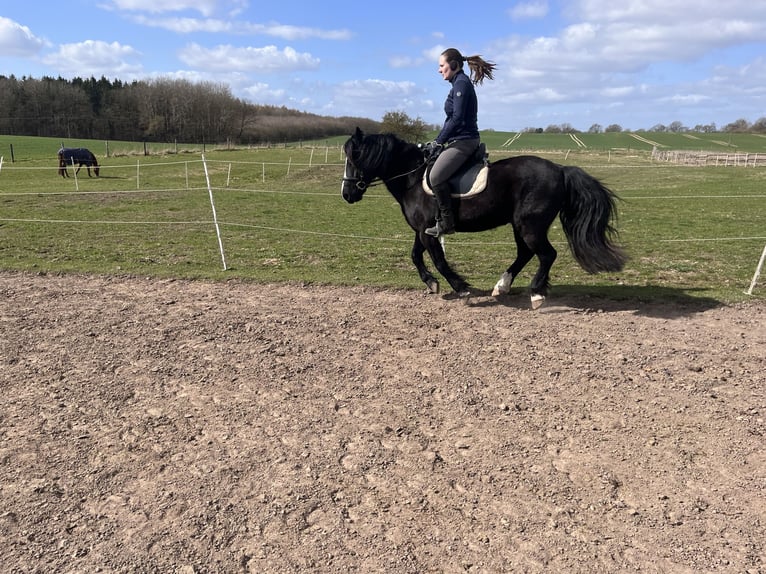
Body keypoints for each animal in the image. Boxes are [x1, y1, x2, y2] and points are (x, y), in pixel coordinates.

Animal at [341, 128, 626, 308]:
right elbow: (415, 256)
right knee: (526, 254)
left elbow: (439, 261)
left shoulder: (427, 231)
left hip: (530, 226)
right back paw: (502, 286)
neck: (412, 177)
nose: (346, 194)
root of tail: (560, 169)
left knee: (546, 254)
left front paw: (462, 289)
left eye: (355, 158)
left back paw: (535, 293)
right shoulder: (423, 230)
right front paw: (431, 284)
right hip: (520, 225)